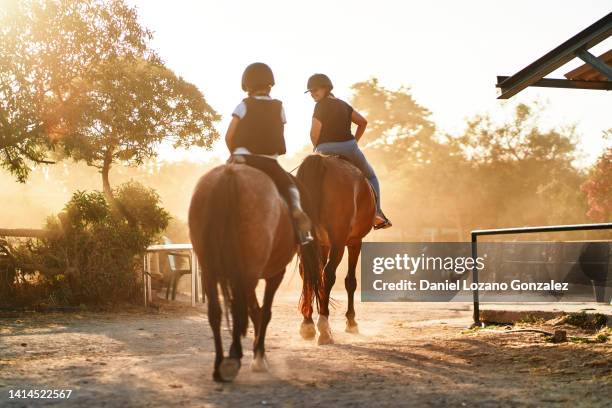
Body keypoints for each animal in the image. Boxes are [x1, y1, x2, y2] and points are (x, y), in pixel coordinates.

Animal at [186, 163, 320, 382]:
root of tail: (230, 174)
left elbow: (255, 311)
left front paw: (259, 354)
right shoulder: (273, 274)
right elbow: (263, 312)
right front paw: (259, 357)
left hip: (210, 271)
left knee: (216, 312)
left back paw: (219, 365)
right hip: (246, 273)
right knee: (238, 310)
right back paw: (233, 358)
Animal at [296, 153, 376, 344]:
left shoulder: (323, 244)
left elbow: (315, 276)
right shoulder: (355, 241)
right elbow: (350, 281)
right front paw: (351, 322)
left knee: (307, 273)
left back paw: (308, 324)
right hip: (339, 242)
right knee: (329, 274)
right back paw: (324, 327)